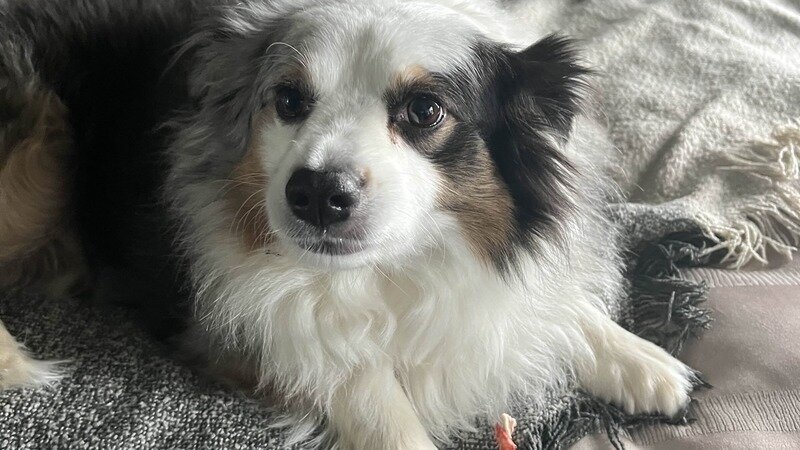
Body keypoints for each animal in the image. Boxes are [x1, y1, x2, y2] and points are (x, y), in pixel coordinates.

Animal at [0, 0, 695, 447]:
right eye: (288, 100)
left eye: (424, 110)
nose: (314, 195)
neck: (395, 269)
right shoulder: (233, 325)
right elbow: (360, 385)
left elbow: (546, 301)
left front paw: (641, 361)